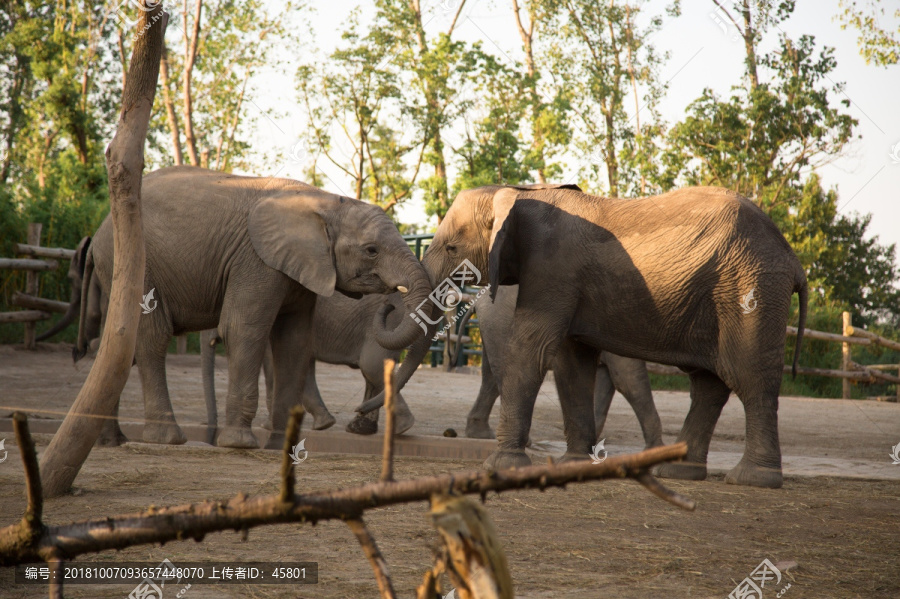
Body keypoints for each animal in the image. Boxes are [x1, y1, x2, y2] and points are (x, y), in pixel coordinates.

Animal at [77, 164, 432, 450]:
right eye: (372, 250)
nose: (389, 305)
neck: (326, 202)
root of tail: (98, 233)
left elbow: (294, 340)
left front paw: (279, 448)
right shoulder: (256, 260)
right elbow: (244, 331)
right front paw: (240, 444)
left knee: (118, 343)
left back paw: (114, 441)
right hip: (135, 262)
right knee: (151, 336)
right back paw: (166, 439)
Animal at [458, 286, 660, 450]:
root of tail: (478, 299)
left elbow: (607, 382)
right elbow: (627, 380)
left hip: (494, 327)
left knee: (491, 376)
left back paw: (481, 434)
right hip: (502, 323)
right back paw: (522, 442)